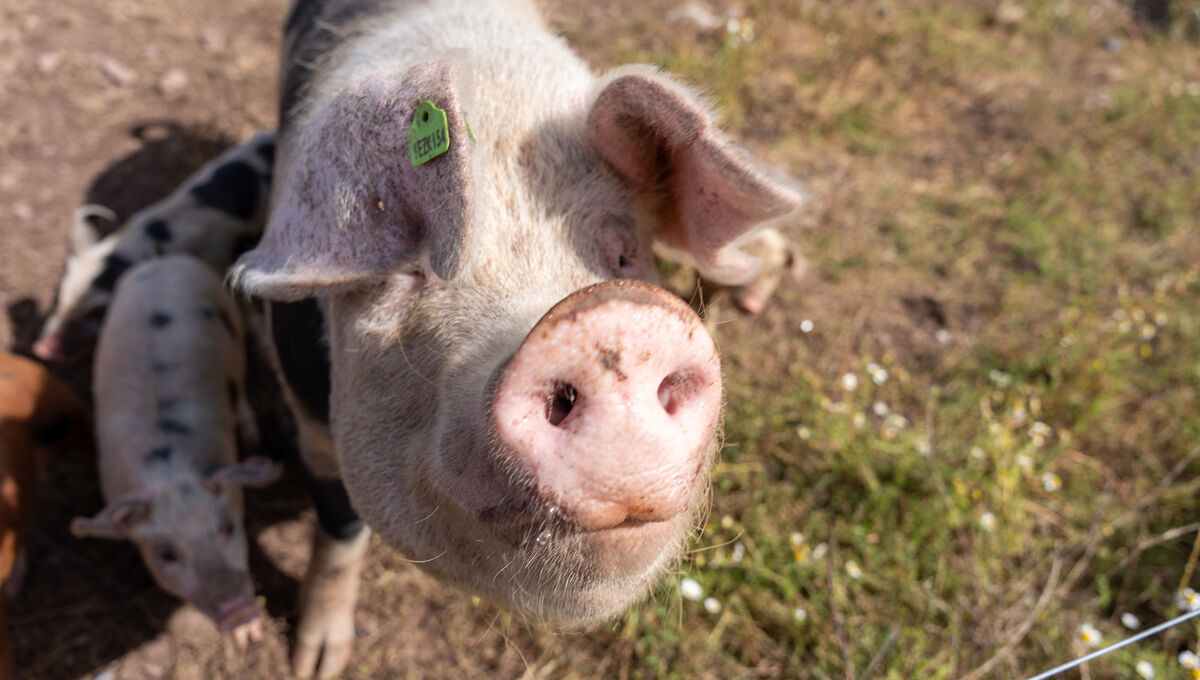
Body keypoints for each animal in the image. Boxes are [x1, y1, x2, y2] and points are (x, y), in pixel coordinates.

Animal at [71, 255, 280, 641]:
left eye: (227, 529)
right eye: (167, 554)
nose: (237, 612)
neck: (166, 471)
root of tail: (162, 260)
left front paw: (252, 636)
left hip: (231, 321)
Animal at [231, 1, 806, 676]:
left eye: (623, 253)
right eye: (410, 271)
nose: (611, 320)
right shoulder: (314, 427)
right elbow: (339, 534)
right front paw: (315, 662)